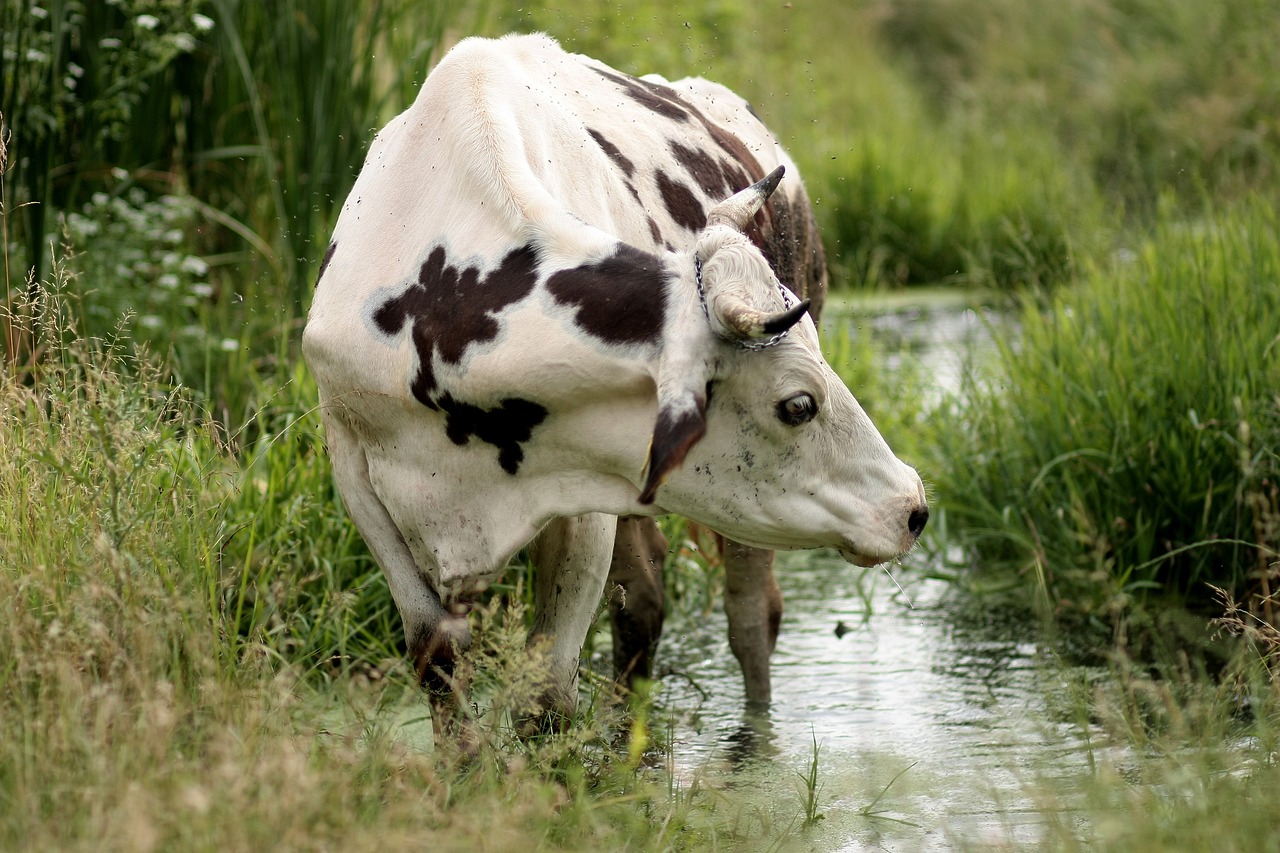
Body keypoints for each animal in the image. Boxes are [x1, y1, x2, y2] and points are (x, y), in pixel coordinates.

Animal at [304, 34, 926, 732]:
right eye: (798, 404)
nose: (912, 506)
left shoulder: (583, 503)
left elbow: (545, 693)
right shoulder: (355, 472)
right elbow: (438, 658)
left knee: (749, 613)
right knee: (646, 601)